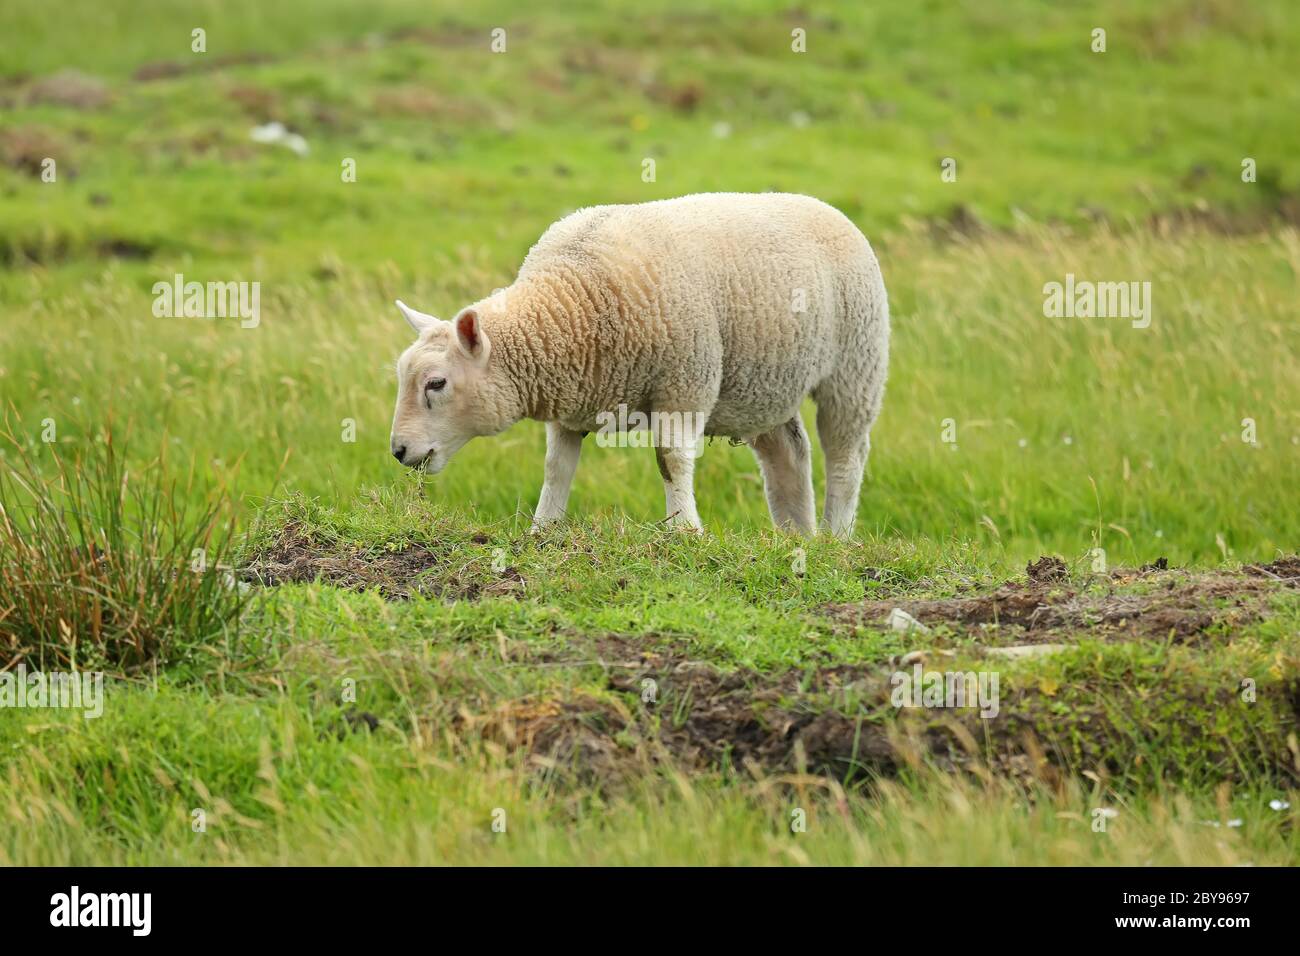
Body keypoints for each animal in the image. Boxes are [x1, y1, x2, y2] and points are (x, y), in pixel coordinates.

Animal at [384, 192, 889, 538]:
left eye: (436, 384)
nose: (398, 451)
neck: (570, 303)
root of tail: (819, 204)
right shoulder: (572, 400)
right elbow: (556, 468)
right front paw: (543, 529)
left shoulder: (683, 385)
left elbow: (671, 461)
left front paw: (684, 530)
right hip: (764, 384)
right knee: (788, 453)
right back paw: (794, 536)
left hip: (856, 365)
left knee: (846, 456)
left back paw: (836, 535)